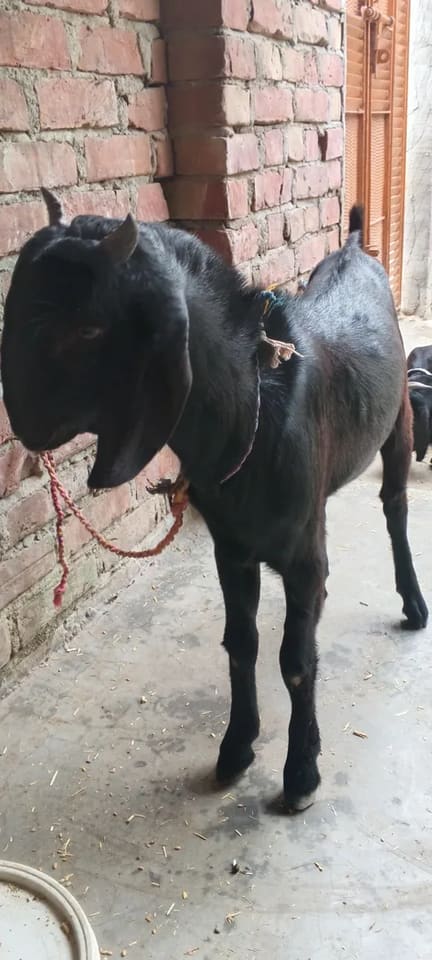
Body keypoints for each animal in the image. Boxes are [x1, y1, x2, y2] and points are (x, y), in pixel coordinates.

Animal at [1, 192, 427, 811]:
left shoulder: (302, 550)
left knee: (394, 506)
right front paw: (236, 747)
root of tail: (354, 248)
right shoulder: (232, 549)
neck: (254, 408)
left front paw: (301, 773)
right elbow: (241, 644)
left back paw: (413, 603)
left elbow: (296, 661)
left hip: (398, 422)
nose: (26, 427)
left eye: (87, 328)